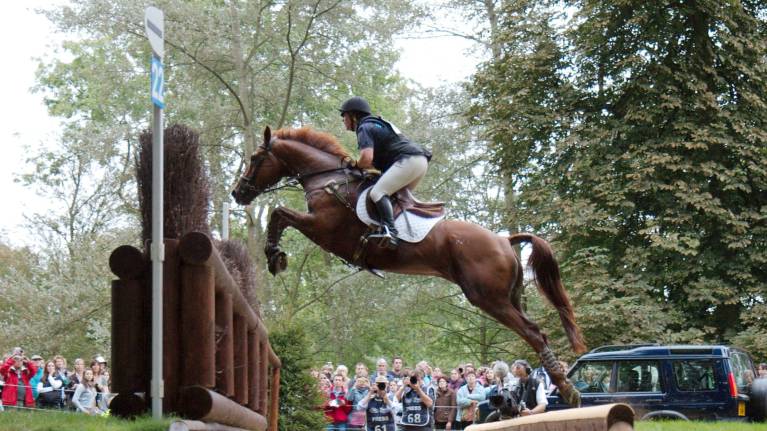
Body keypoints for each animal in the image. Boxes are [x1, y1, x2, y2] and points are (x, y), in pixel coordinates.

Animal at [232, 126, 586, 406]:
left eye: (255, 158)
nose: (238, 193)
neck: (328, 179)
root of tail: (504, 240)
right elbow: (280, 214)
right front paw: (275, 255)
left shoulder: (323, 229)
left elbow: (279, 213)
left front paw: (274, 255)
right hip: (507, 296)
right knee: (536, 331)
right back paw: (565, 384)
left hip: (488, 298)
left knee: (533, 333)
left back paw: (567, 390)